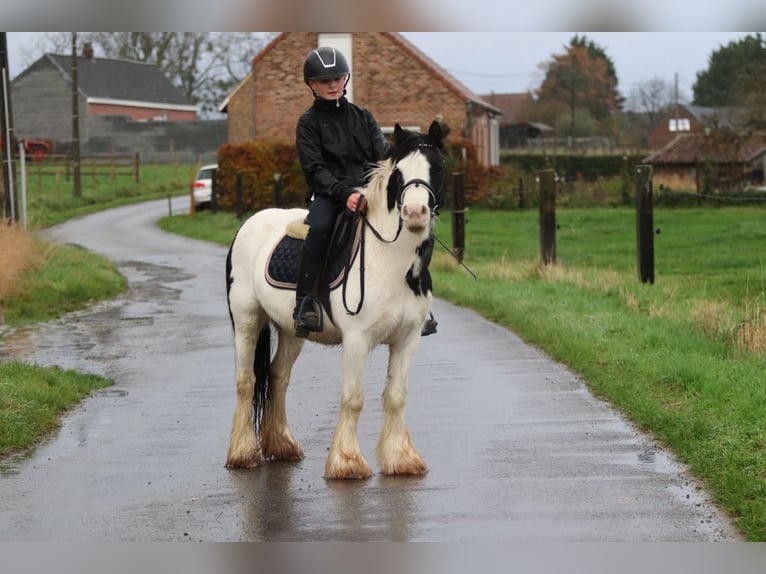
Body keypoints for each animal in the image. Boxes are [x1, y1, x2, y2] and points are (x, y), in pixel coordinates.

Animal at [224, 121, 445, 479]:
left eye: (437, 167)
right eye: (399, 174)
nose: (414, 213)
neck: (389, 261)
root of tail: (249, 224)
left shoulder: (407, 339)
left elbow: (396, 396)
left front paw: (401, 459)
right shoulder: (356, 340)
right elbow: (353, 398)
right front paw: (347, 462)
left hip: (291, 330)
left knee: (277, 376)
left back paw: (283, 446)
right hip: (247, 320)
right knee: (247, 380)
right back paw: (243, 454)